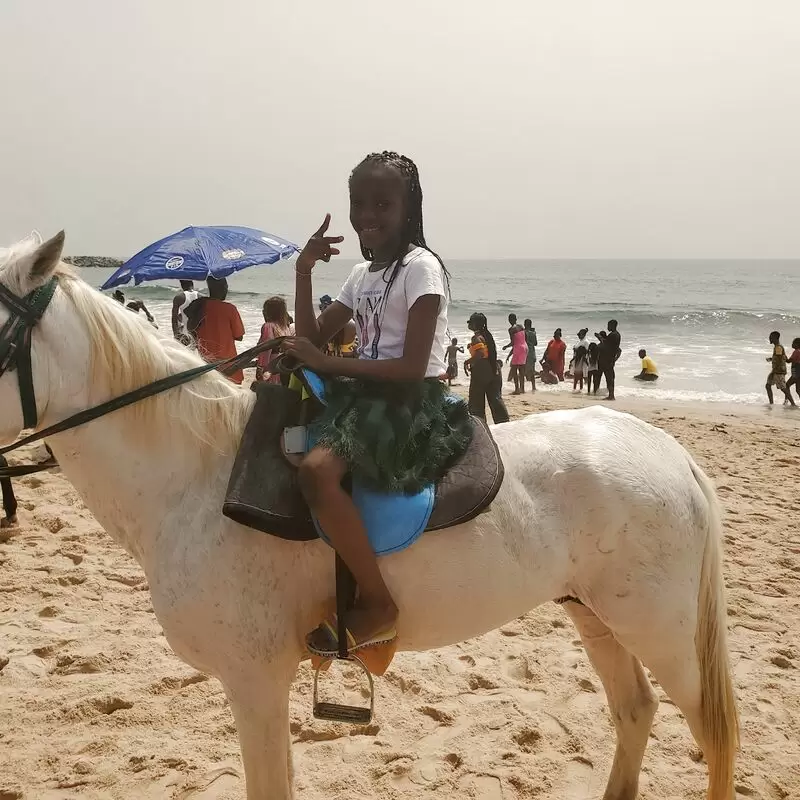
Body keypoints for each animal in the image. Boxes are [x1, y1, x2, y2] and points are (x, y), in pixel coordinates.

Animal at [0, 231, 736, 800]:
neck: (194, 478)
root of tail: (672, 453)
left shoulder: (254, 678)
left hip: (659, 630)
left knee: (711, 732)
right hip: (596, 615)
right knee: (635, 711)